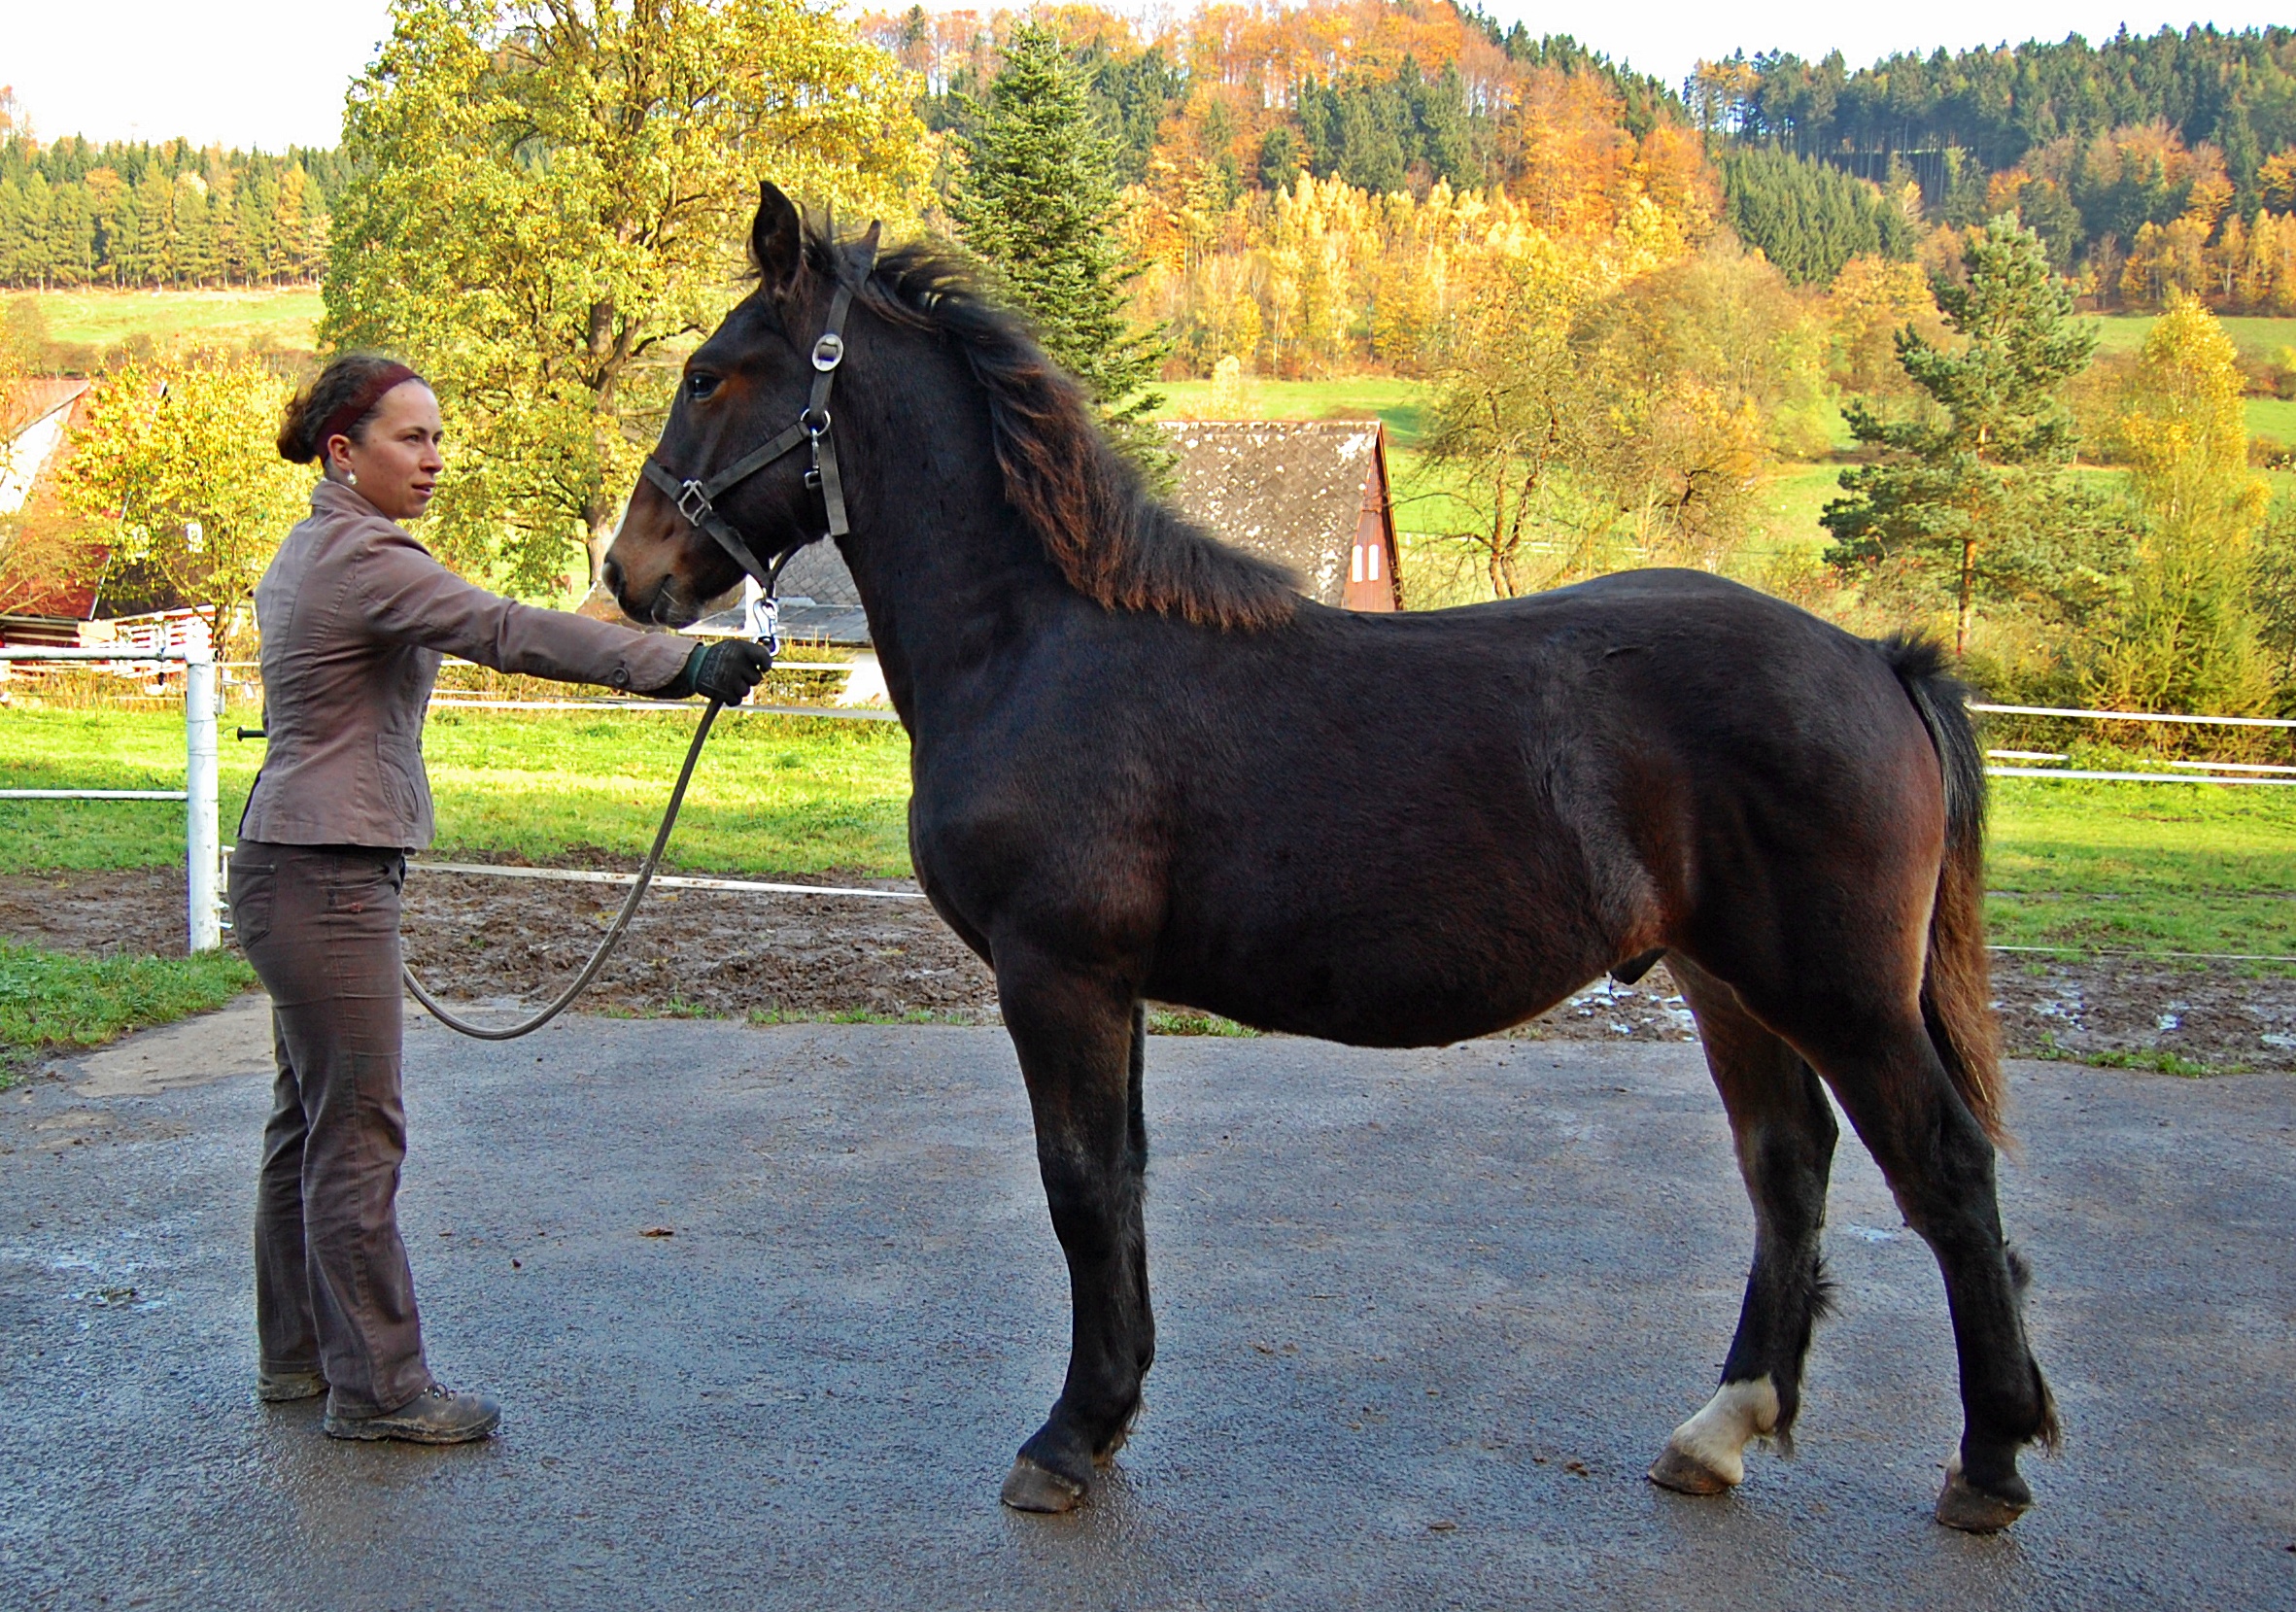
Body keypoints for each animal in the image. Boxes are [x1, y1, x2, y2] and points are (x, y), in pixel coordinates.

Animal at [601, 184, 2057, 1533]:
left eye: (707, 372)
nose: (628, 570)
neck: (1034, 644)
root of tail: (1873, 658)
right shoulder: (1109, 985)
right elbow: (1122, 1180)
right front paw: (1109, 1412)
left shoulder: (1056, 971)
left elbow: (1079, 1185)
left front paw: (1067, 1436)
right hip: (1727, 983)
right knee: (1784, 1167)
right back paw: (1720, 1429)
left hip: (1837, 994)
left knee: (1941, 1169)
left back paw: (1986, 1458)